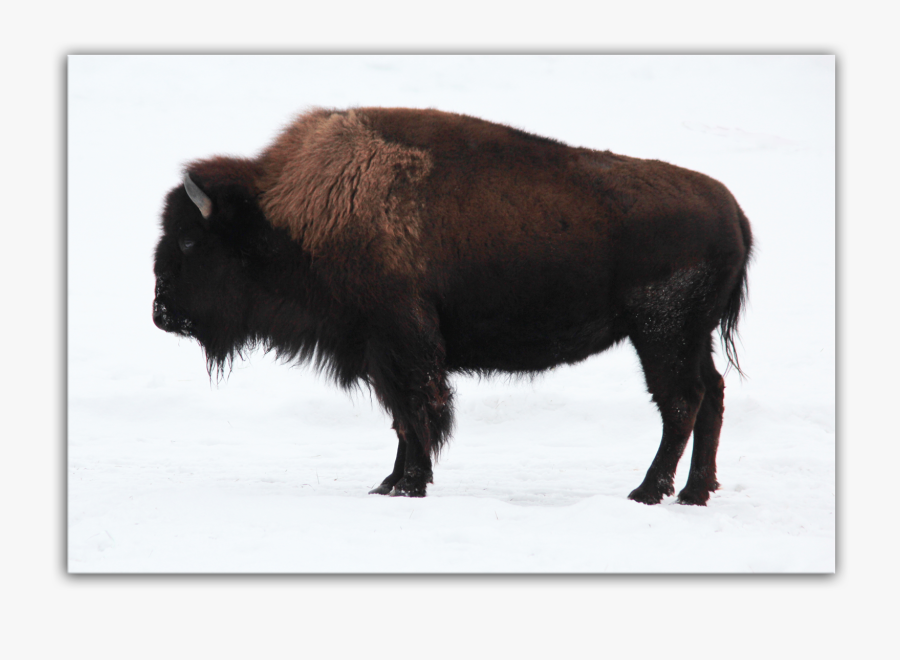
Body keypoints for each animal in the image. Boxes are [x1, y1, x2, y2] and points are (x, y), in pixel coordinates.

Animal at [153, 107, 752, 505]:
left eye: (189, 241)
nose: (161, 314)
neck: (286, 217)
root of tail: (735, 215)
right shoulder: (384, 355)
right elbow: (401, 420)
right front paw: (388, 483)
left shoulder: (401, 344)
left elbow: (418, 412)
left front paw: (408, 486)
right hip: (685, 337)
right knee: (712, 396)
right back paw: (696, 492)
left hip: (661, 334)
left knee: (682, 403)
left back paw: (647, 492)